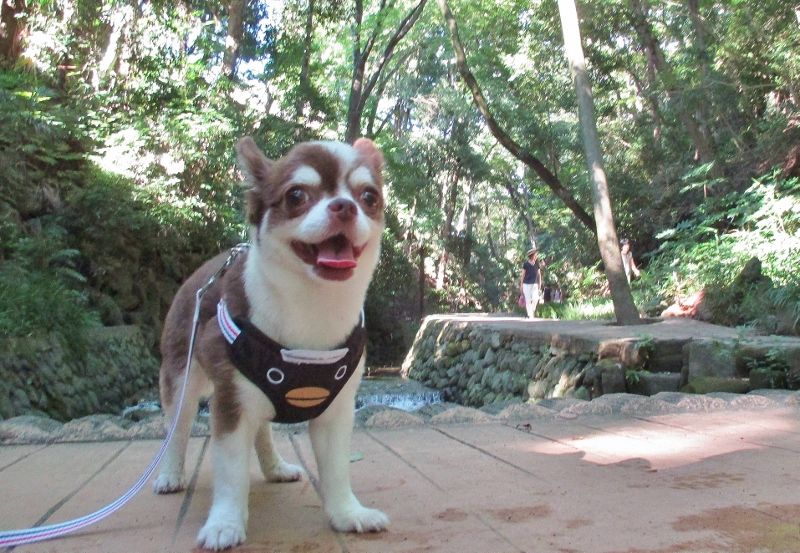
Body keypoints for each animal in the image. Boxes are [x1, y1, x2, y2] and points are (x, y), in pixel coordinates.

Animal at [154, 137, 390, 548]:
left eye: (368, 197)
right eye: (296, 195)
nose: (344, 206)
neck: (312, 306)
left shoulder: (336, 412)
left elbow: (336, 469)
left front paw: (348, 513)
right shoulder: (230, 404)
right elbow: (231, 472)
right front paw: (226, 523)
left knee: (262, 429)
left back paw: (275, 467)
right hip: (180, 378)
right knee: (177, 429)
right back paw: (170, 473)